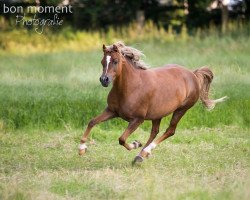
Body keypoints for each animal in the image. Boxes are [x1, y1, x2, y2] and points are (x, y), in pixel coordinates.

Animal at [78, 41, 227, 163]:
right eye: (102, 61)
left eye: (115, 61)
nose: (104, 80)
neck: (131, 87)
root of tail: (193, 74)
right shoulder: (112, 111)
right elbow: (92, 122)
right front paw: (81, 148)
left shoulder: (137, 119)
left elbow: (122, 139)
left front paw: (135, 144)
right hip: (157, 114)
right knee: (154, 132)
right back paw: (140, 156)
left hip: (181, 110)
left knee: (170, 131)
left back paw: (144, 152)